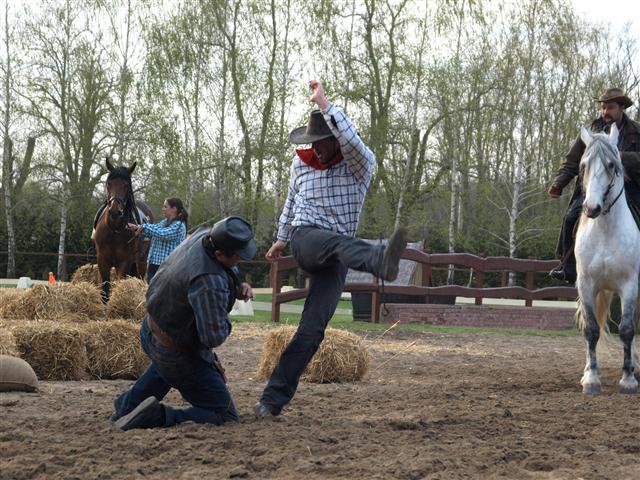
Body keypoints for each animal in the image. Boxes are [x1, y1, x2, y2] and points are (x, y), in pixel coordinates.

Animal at [93, 158, 154, 300]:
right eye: (109, 184)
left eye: (126, 185)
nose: (115, 211)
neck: (114, 230)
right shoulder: (102, 261)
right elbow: (105, 291)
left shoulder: (124, 262)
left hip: (141, 261)